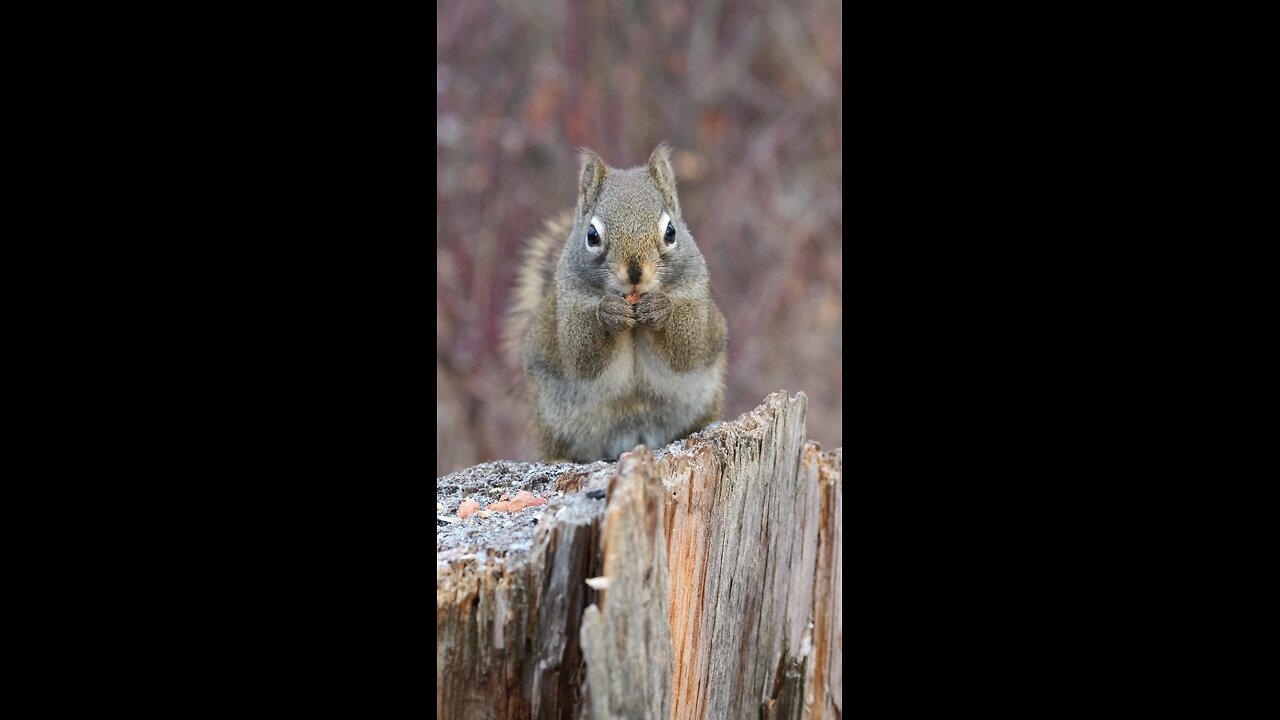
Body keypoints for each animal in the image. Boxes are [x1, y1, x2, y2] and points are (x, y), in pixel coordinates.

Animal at [506, 144, 732, 458]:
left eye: (671, 232)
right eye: (592, 235)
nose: (635, 272)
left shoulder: (696, 301)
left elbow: (687, 348)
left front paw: (660, 308)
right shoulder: (569, 307)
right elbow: (581, 354)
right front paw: (610, 313)